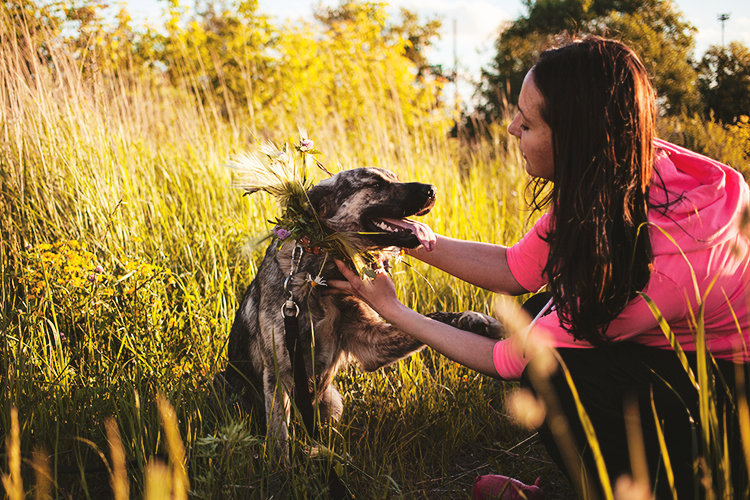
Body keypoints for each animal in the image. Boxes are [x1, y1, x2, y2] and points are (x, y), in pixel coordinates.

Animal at [214, 167, 502, 458]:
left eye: (394, 177)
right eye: (376, 185)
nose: (431, 190)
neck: (321, 278)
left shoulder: (371, 341)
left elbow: (431, 319)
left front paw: (471, 318)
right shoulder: (279, 369)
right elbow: (278, 435)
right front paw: (280, 466)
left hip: (332, 401)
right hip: (230, 387)